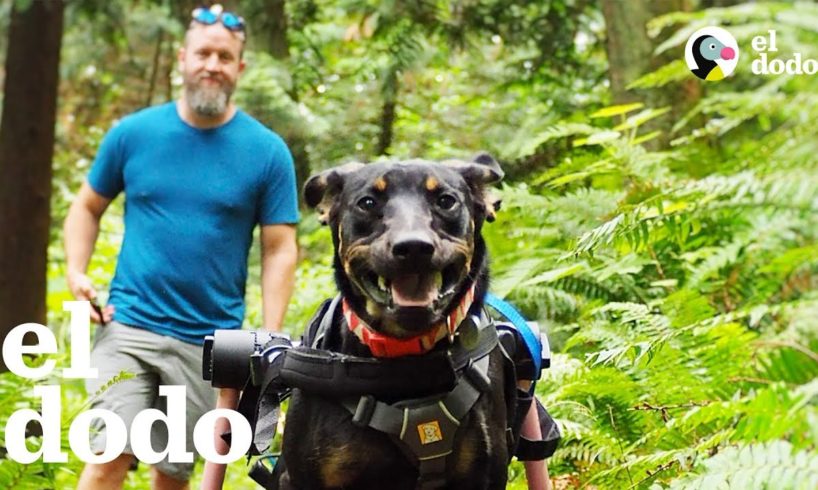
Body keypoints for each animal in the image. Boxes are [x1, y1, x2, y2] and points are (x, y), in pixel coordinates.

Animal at [278, 154, 510, 490]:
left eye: (446, 201)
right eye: (367, 202)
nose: (413, 247)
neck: (404, 357)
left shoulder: (485, 474)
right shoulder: (302, 478)